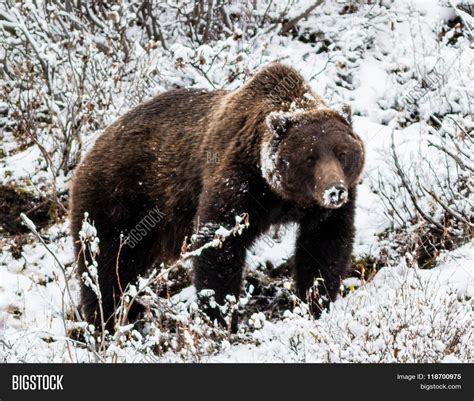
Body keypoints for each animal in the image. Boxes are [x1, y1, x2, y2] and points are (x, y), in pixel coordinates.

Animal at [70, 62, 364, 328]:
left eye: (342, 153)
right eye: (310, 157)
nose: (334, 190)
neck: (281, 196)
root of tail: (92, 148)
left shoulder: (324, 210)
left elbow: (324, 246)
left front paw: (316, 302)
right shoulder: (239, 180)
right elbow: (218, 242)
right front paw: (221, 315)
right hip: (117, 200)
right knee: (106, 266)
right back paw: (105, 320)